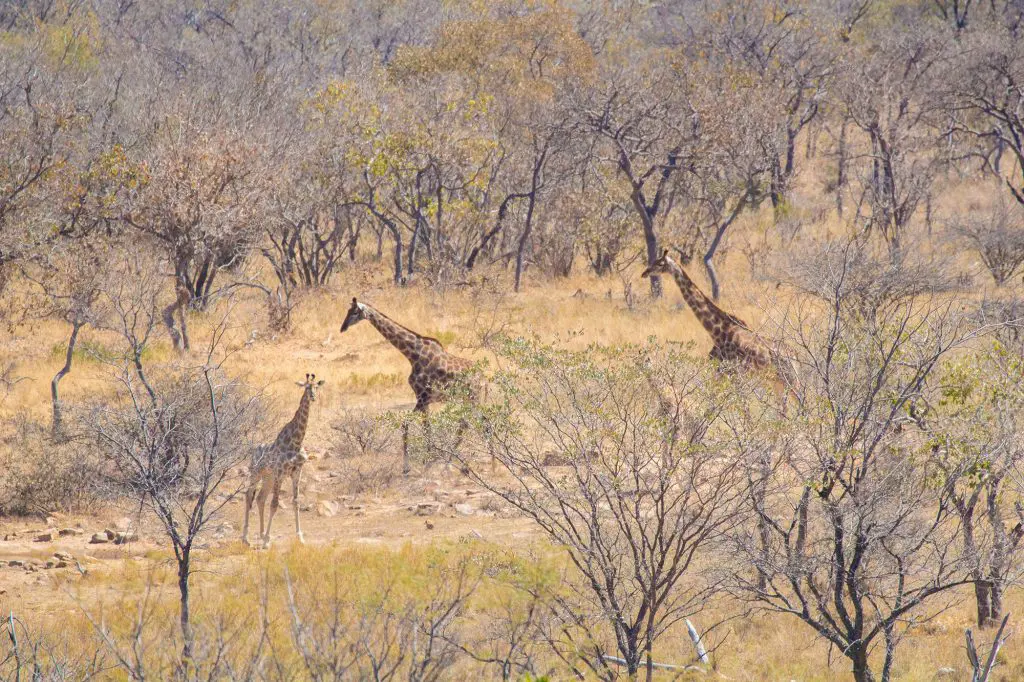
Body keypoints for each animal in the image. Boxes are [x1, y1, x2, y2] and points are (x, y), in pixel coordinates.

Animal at [241, 373, 324, 548]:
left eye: (316, 387)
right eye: (306, 387)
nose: (313, 397)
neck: (296, 441)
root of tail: (254, 451)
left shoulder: (296, 472)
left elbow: (296, 502)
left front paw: (300, 537)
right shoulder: (280, 471)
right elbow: (274, 504)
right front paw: (267, 541)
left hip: (269, 477)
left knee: (260, 498)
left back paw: (260, 534)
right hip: (256, 473)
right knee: (249, 495)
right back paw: (245, 538)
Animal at [339, 297, 478, 474]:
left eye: (355, 312)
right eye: (348, 311)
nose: (342, 328)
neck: (413, 354)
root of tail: (484, 377)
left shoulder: (423, 397)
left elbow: (407, 424)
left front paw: (409, 466)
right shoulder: (423, 399)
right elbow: (426, 427)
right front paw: (427, 459)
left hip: (473, 399)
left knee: (473, 424)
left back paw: (454, 464)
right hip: (470, 400)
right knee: (474, 424)